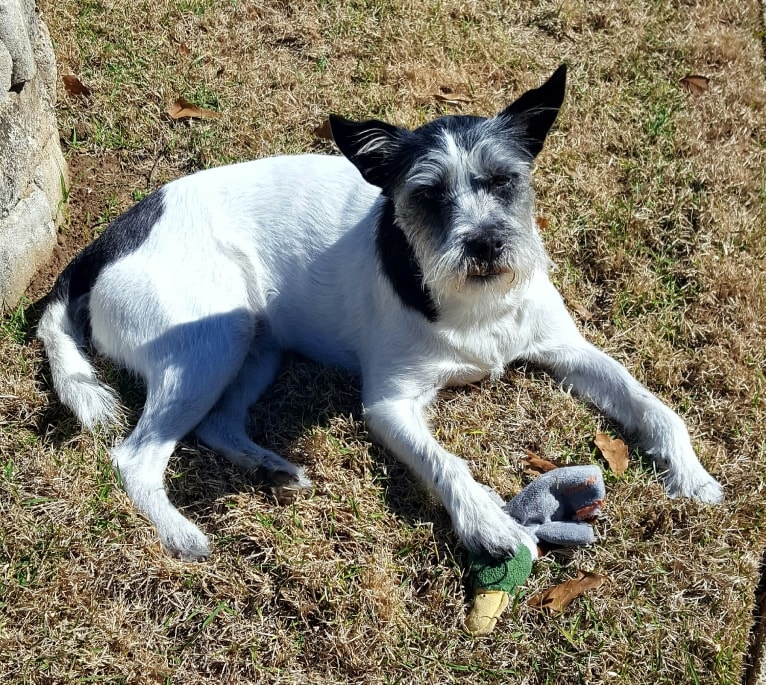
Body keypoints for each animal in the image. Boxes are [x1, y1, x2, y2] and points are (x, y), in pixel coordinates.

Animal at [36, 62, 724, 560]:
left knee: (217, 425)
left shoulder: (568, 349)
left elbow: (653, 406)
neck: (474, 302)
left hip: (256, 347)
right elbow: (445, 463)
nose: (485, 244)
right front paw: (489, 524)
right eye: (427, 194)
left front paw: (690, 475)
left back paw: (269, 467)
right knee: (136, 457)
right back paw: (181, 534)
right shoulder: (390, 403)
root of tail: (99, 247)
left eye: (505, 180)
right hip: (212, 342)